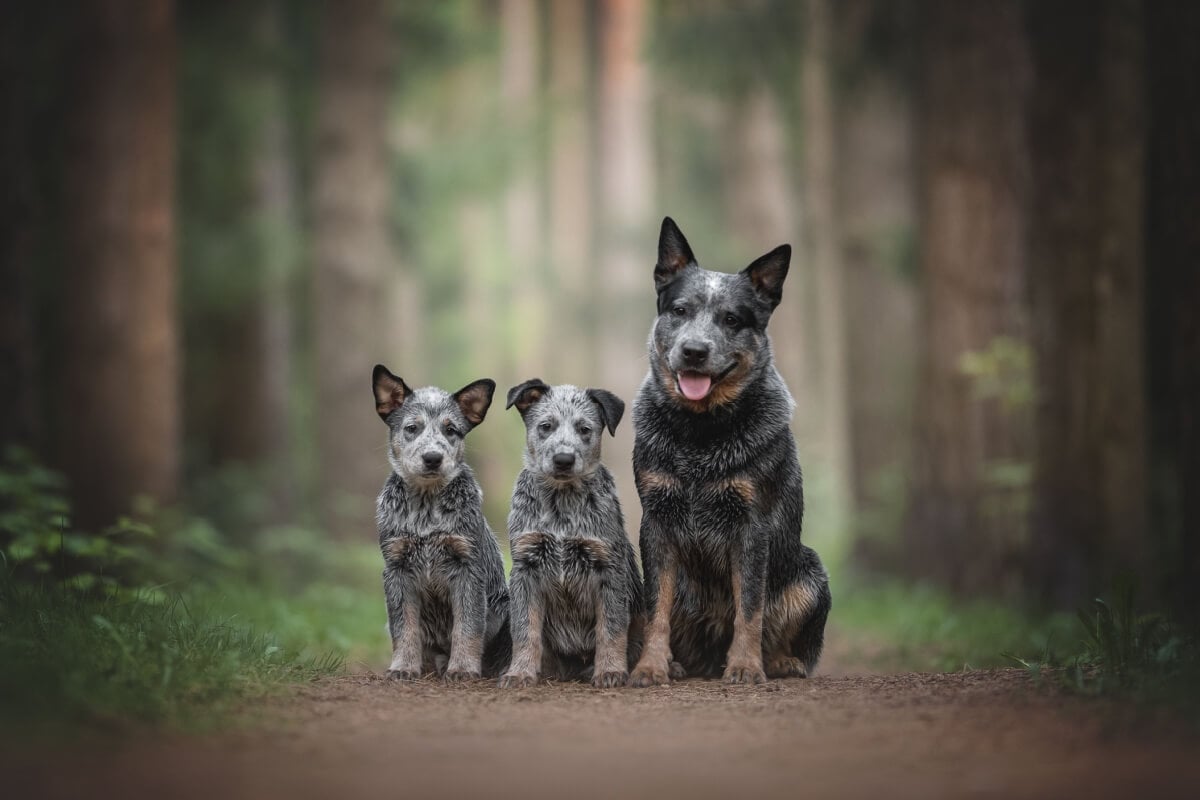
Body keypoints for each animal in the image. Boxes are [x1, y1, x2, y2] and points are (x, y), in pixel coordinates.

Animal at [369, 367, 511, 686]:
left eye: (451, 430)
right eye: (412, 428)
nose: (433, 458)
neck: (426, 508)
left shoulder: (468, 568)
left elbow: (468, 627)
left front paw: (463, 668)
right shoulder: (396, 569)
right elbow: (404, 627)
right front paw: (403, 667)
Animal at [499, 381, 648, 690]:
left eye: (584, 429)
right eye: (546, 426)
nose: (563, 459)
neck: (561, 504)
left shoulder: (608, 566)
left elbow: (611, 628)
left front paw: (610, 670)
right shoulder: (525, 567)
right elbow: (524, 630)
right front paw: (519, 673)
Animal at [628, 219, 835, 690]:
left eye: (731, 319)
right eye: (680, 310)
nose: (694, 351)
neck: (700, 434)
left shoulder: (752, 525)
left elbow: (750, 607)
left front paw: (745, 666)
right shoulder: (656, 521)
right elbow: (656, 609)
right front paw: (650, 667)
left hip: (810, 572)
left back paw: (780, 662)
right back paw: (677, 664)